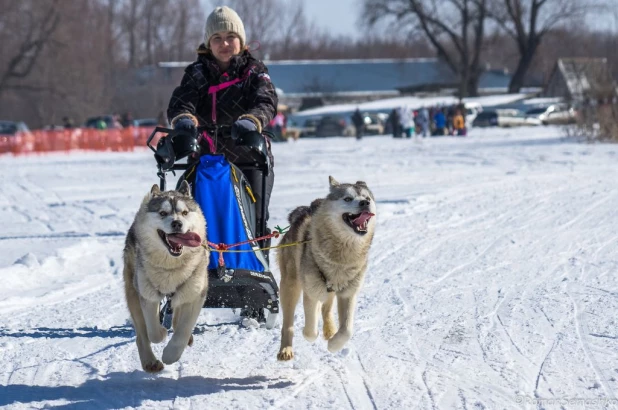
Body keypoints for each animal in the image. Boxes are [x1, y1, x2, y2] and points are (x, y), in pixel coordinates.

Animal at [122, 182, 209, 372]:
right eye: (162, 213)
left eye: (185, 212)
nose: (177, 223)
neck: (171, 267)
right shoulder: (147, 295)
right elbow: (153, 332)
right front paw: (161, 332)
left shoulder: (195, 294)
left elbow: (183, 329)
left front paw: (171, 354)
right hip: (132, 291)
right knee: (142, 334)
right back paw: (150, 361)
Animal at [276, 175, 376, 360]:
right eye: (347, 199)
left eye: (367, 198)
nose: (364, 203)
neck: (341, 256)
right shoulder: (312, 290)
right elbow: (310, 330)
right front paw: (311, 332)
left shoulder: (348, 294)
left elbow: (347, 330)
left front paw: (334, 345)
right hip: (291, 286)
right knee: (288, 323)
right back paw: (286, 349)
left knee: (327, 309)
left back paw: (330, 330)